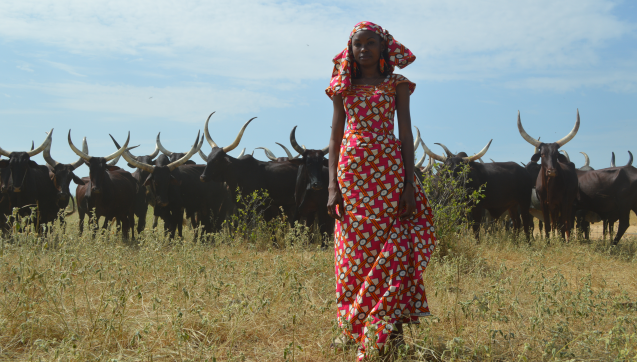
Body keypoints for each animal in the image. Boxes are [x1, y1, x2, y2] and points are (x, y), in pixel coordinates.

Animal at [516, 109, 580, 242]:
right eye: (543, 154)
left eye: (556, 154)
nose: (552, 172)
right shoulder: (544, 204)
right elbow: (547, 225)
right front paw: (548, 242)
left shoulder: (563, 202)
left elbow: (563, 224)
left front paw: (563, 242)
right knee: (554, 223)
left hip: (568, 204)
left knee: (566, 223)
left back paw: (567, 239)